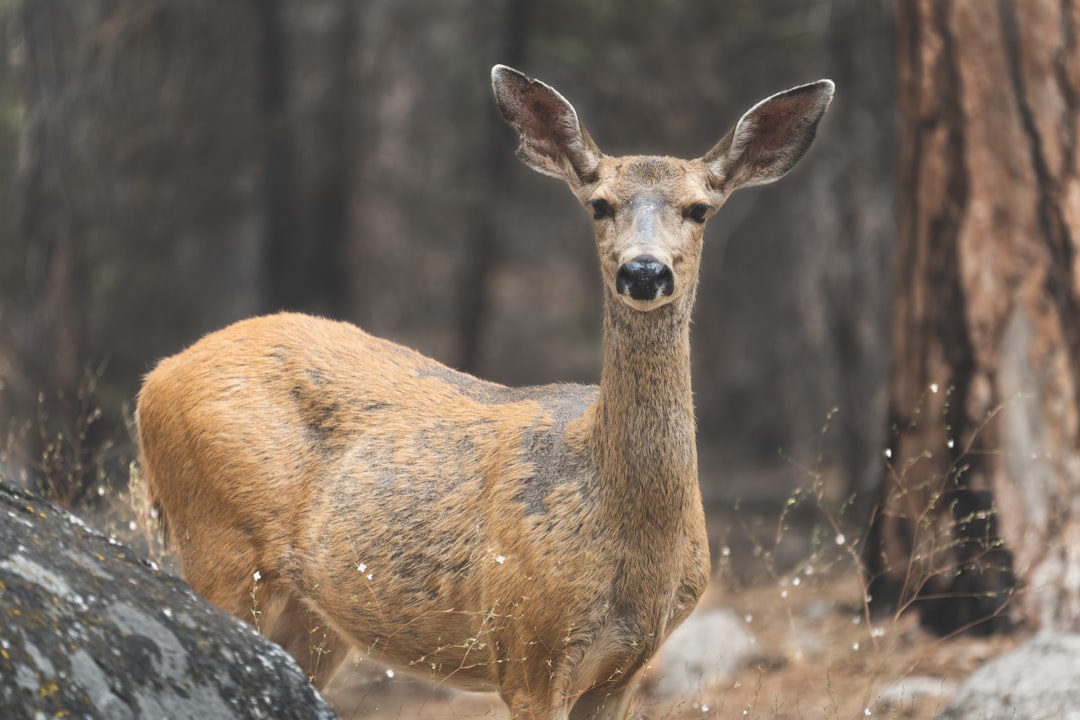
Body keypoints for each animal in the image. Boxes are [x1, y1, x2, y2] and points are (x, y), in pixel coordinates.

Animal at [135, 64, 833, 716]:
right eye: (599, 204)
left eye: (699, 208)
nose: (643, 271)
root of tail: (154, 379)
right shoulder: (529, 644)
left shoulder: (627, 668)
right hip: (218, 541)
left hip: (318, 612)